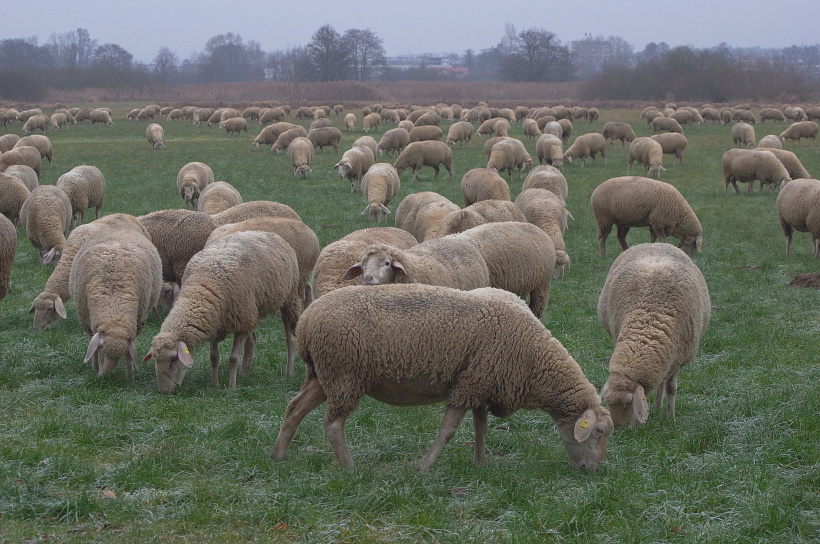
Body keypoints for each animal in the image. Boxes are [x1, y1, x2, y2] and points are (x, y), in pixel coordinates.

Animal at [69, 227, 162, 380]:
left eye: (121, 354)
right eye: (101, 349)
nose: (105, 377)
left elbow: (130, 358)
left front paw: (130, 376)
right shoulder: (88, 323)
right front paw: (95, 367)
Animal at [145, 230, 302, 392]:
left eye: (173, 359)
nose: (164, 391)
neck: (202, 287)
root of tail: (265, 232)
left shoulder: (241, 323)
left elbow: (233, 358)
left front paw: (231, 386)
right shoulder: (214, 323)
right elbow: (214, 357)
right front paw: (215, 384)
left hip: (288, 299)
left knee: (290, 339)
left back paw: (289, 373)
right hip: (253, 311)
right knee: (252, 340)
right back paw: (244, 373)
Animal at [273, 283, 613, 471]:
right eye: (598, 432)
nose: (595, 470)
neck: (534, 361)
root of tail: (307, 320)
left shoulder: (481, 382)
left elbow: (481, 427)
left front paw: (480, 464)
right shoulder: (469, 385)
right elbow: (448, 431)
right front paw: (423, 468)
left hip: (324, 374)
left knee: (294, 409)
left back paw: (279, 456)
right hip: (345, 375)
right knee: (332, 423)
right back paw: (349, 468)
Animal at [598, 243, 710, 426]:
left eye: (629, 403)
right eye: (607, 402)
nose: (618, 427)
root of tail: (654, 243)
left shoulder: (679, 358)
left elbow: (671, 388)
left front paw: (670, 418)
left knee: (663, 382)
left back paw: (659, 407)